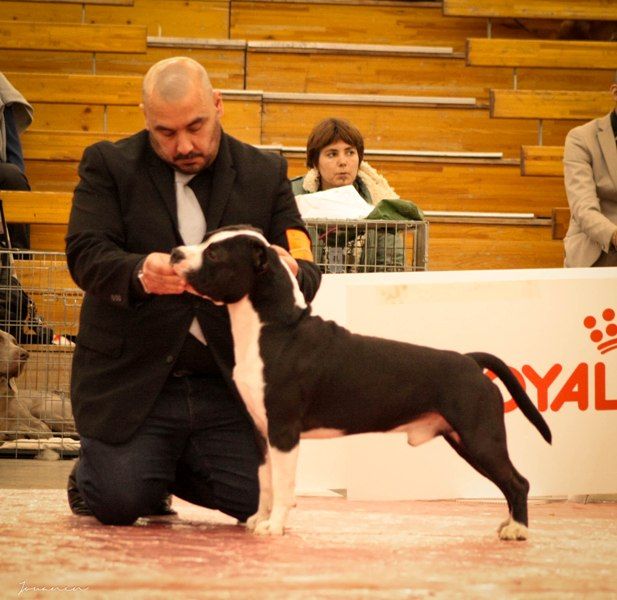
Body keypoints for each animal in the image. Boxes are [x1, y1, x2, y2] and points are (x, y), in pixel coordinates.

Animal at [171, 227, 552, 540]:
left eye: (214, 253)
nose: (174, 252)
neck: (274, 329)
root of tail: (470, 360)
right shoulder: (261, 431)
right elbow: (265, 482)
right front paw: (259, 520)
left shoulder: (283, 430)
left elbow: (282, 484)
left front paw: (275, 526)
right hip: (464, 439)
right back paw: (510, 524)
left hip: (480, 437)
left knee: (517, 482)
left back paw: (518, 529)